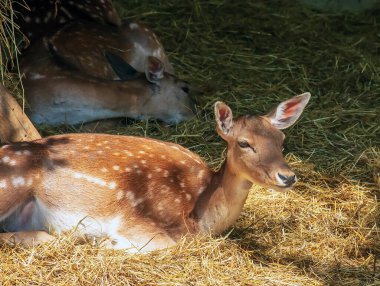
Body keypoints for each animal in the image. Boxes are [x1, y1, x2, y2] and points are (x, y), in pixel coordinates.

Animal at [0, 92, 310, 251]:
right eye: (244, 143)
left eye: (281, 140)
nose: (288, 176)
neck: (199, 214)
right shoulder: (136, 220)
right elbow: (165, 244)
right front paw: (108, 243)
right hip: (12, 183)